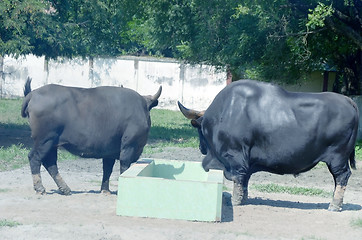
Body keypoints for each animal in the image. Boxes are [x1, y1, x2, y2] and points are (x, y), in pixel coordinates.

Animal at [20, 78, 160, 196]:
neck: (141, 108)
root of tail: (33, 93)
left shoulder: (109, 151)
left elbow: (107, 169)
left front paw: (105, 190)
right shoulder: (129, 146)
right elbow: (124, 167)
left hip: (52, 144)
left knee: (50, 163)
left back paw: (65, 189)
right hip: (44, 141)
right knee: (35, 158)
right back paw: (40, 188)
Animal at [179, 79, 360, 211]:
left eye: (199, 129)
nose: (201, 148)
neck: (224, 113)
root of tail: (347, 100)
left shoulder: (235, 157)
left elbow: (238, 177)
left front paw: (235, 200)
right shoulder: (247, 162)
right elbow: (245, 180)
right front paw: (243, 198)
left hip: (337, 158)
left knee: (342, 177)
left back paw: (334, 205)